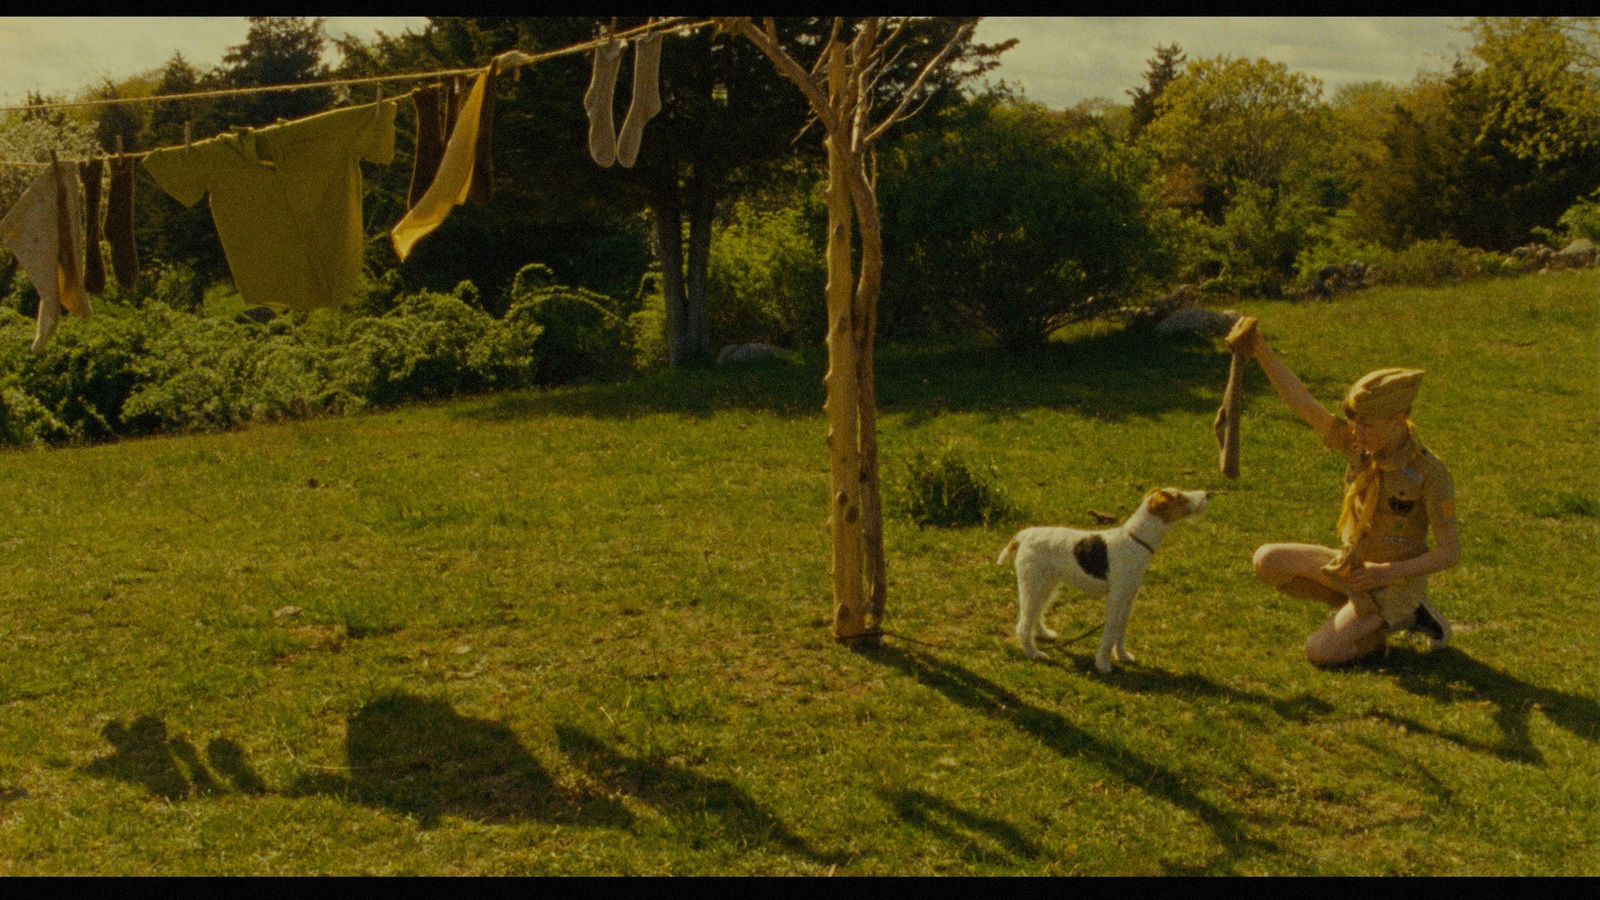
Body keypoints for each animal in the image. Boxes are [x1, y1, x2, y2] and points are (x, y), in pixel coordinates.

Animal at [992, 486, 1203, 669]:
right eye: (1179, 497)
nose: (1207, 495)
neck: (1136, 540)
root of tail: (1024, 535)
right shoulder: (1116, 598)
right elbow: (1109, 634)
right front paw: (1103, 664)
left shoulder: (1129, 597)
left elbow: (1120, 631)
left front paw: (1123, 656)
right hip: (1035, 584)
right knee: (1024, 624)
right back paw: (1034, 653)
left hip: (1046, 584)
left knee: (1035, 614)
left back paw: (1045, 634)